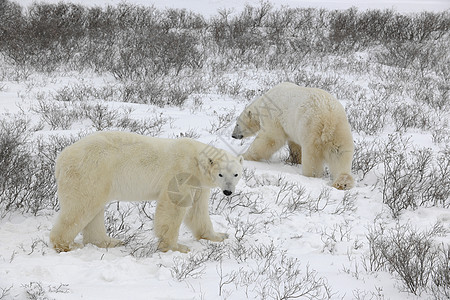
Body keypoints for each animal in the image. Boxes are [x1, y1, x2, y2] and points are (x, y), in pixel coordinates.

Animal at [50, 131, 243, 253]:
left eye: (236, 174)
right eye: (221, 174)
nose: (227, 191)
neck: (196, 160)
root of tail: (61, 158)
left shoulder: (198, 185)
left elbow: (198, 211)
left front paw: (219, 235)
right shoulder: (181, 173)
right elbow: (174, 206)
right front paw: (176, 247)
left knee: (93, 210)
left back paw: (109, 241)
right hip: (90, 172)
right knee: (80, 207)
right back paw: (67, 245)